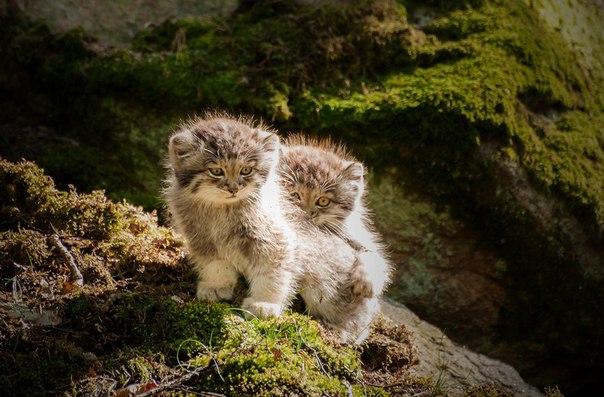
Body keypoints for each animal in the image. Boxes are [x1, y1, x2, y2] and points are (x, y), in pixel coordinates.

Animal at [164, 113, 298, 318]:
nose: (234, 189)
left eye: (246, 170)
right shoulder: (202, 239)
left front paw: (265, 303)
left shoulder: (273, 238)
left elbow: (272, 271)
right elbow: (215, 264)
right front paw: (216, 286)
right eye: (217, 171)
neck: (222, 212)